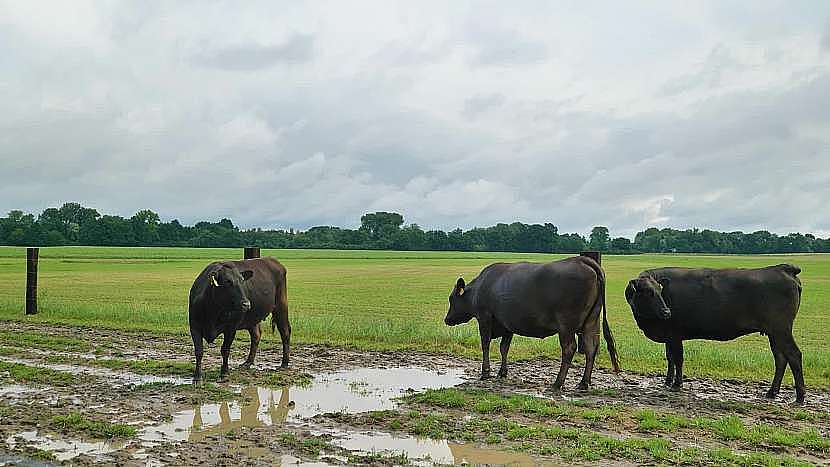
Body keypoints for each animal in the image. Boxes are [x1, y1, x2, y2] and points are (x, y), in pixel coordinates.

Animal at [188, 256, 292, 384]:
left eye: (242, 281)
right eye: (228, 282)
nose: (246, 304)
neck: (212, 309)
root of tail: (272, 260)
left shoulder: (231, 328)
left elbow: (225, 350)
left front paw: (224, 372)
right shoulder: (194, 327)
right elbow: (199, 351)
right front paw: (197, 377)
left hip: (281, 306)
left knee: (285, 332)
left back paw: (284, 363)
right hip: (253, 317)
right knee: (256, 335)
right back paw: (248, 362)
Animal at [446, 258, 620, 394]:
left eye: (451, 299)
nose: (447, 319)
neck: (480, 288)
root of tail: (581, 260)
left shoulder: (485, 317)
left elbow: (485, 344)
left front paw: (485, 373)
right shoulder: (507, 324)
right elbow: (504, 348)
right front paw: (502, 372)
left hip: (566, 326)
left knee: (569, 349)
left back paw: (557, 383)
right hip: (591, 321)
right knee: (591, 348)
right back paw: (584, 383)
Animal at [632, 266, 808, 404]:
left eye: (659, 291)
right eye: (648, 292)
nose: (667, 312)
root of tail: (782, 268)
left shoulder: (675, 334)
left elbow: (678, 359)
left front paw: (677, 384)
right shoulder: (669, 335)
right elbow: (670, 358)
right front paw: (668, 381)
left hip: (781, 330)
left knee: (794, 355)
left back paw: (800, 397)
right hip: (774, 333)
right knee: (780, 358)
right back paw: (772, 392)